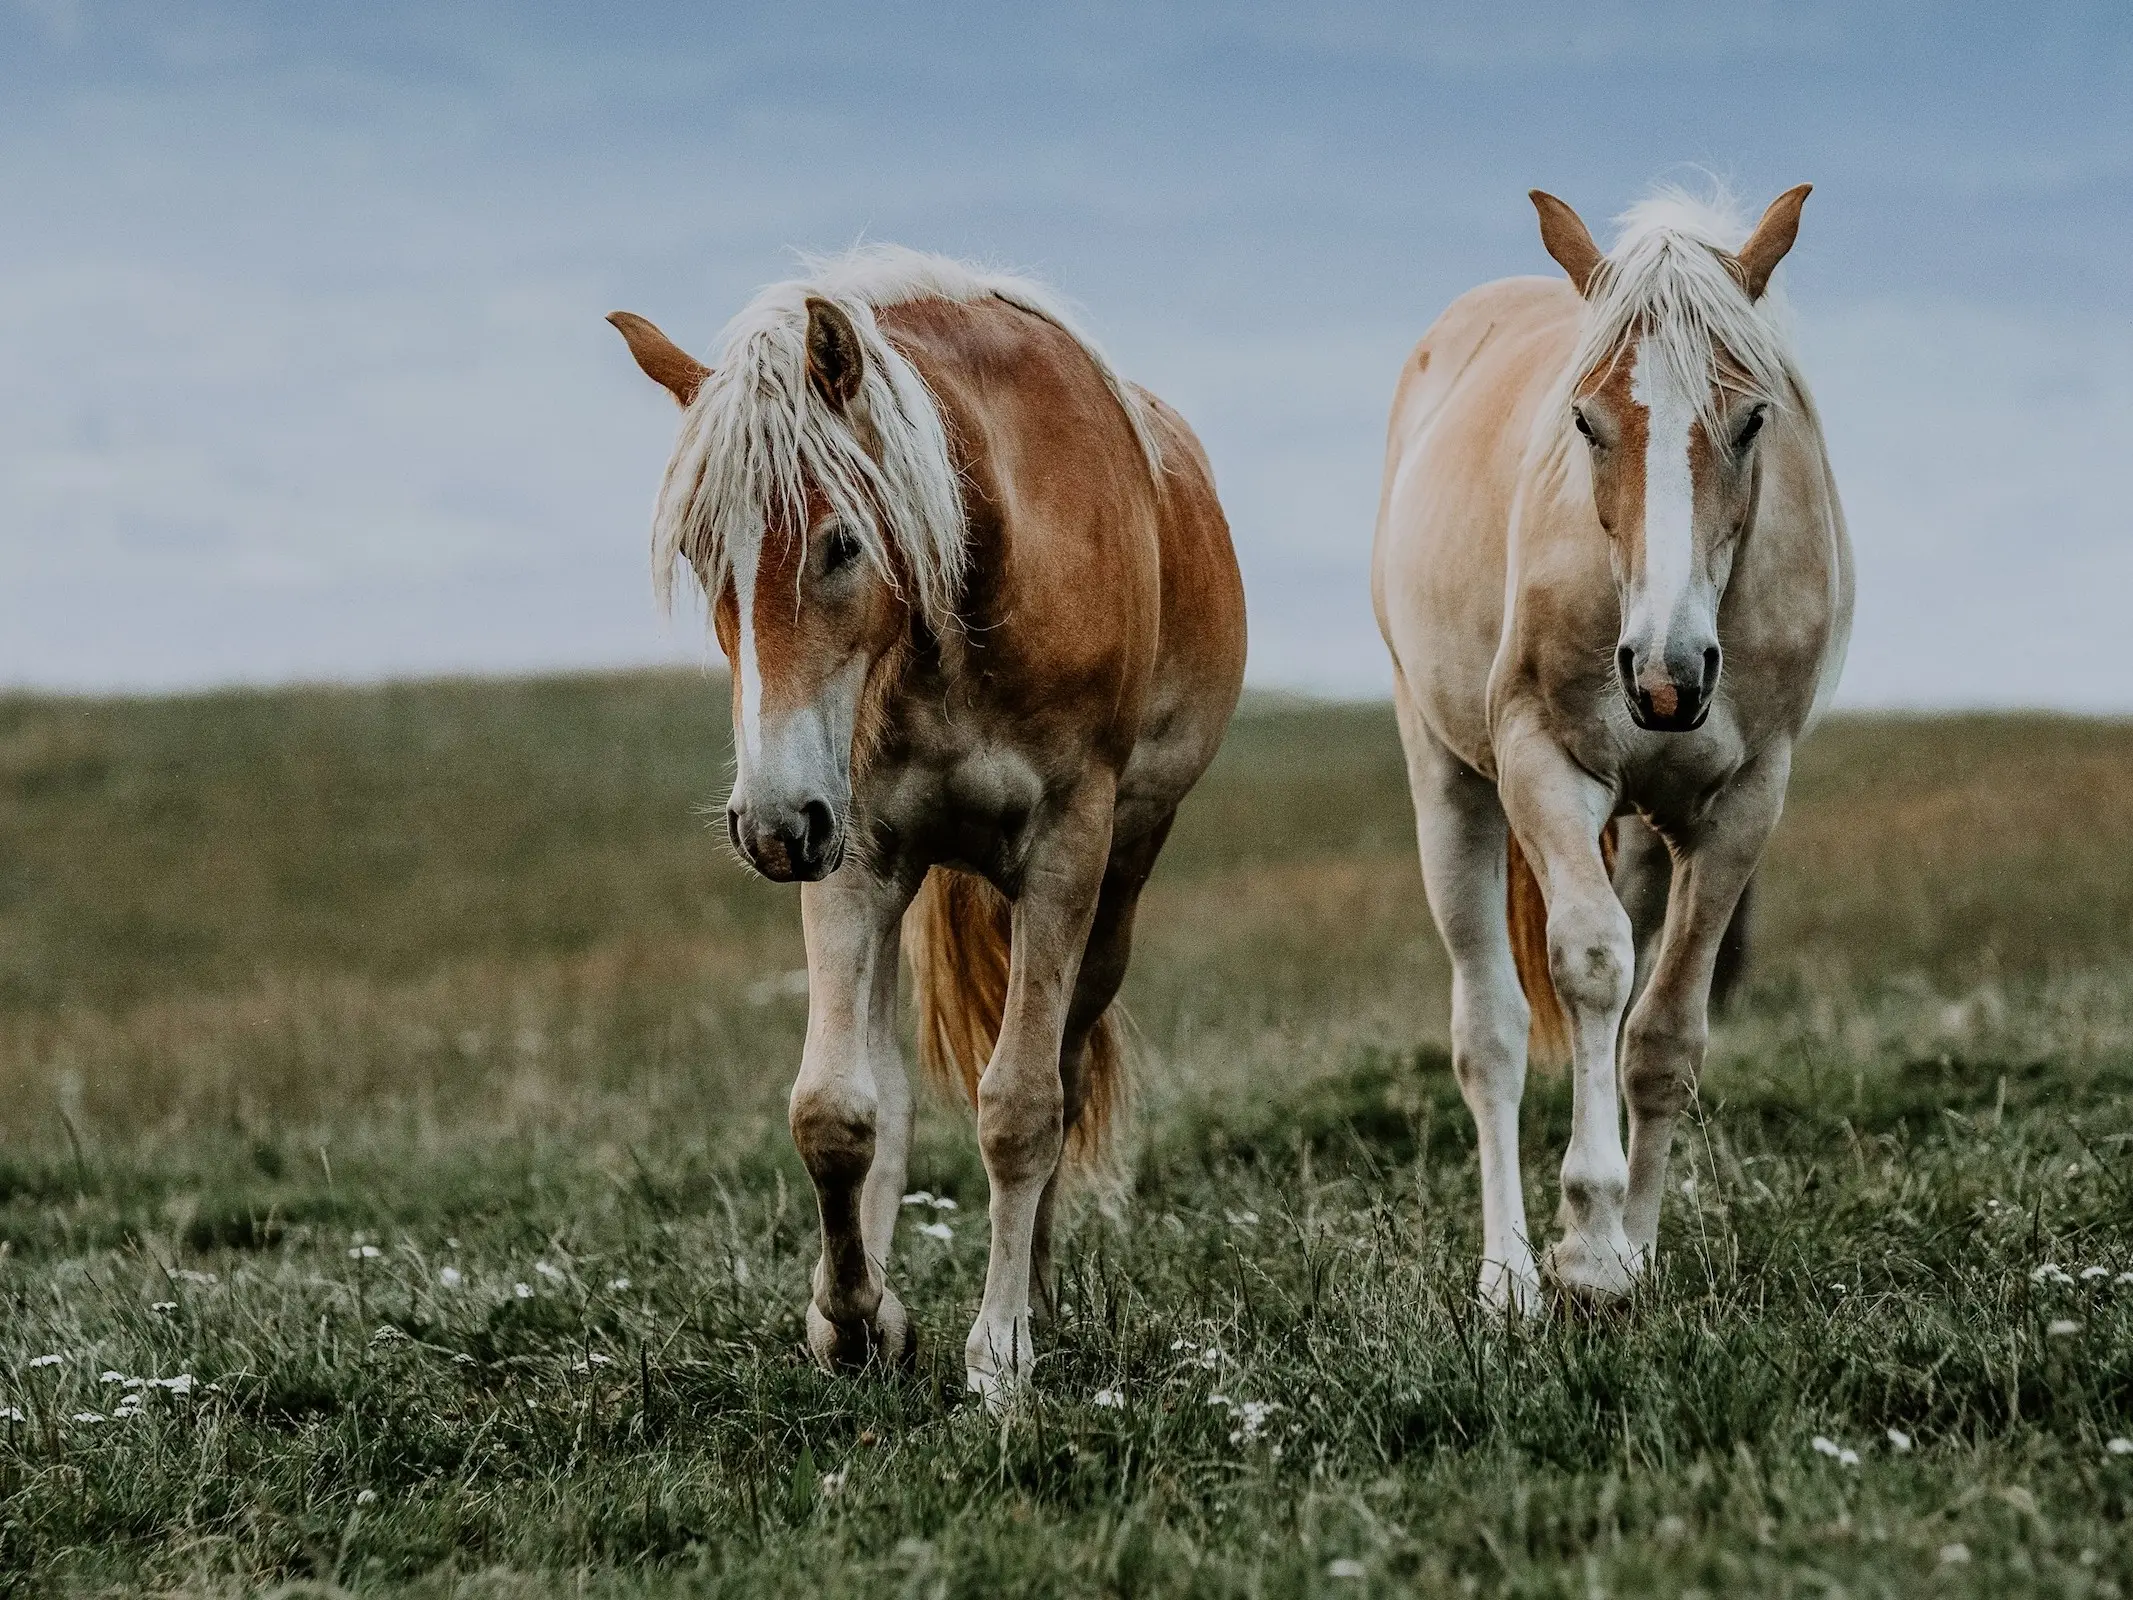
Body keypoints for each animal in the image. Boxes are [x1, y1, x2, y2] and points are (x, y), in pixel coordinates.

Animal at [610, 247, 1245, 1399]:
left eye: (841, 544)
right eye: (699, 554)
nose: (766, 822)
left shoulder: (1065, 851)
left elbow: (1022, 1107)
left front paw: (998, 1355)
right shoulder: (853, 851)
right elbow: (837, 1111)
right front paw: (855, 1321)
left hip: (1118, 883)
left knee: (1064, 1070)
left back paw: (1036, 1297)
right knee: (889, 1091)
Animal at [1382, 187, 1851, 1314]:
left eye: (1752, 417)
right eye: (1586, 420)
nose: (1666, 675)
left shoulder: (1745, 804)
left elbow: (1665, 1032)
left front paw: (1632, 1250)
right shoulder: (1546, 767)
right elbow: (1593, 969)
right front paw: (1588, 1246)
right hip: (1450, 787)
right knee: (1491, 1035)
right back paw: (1507, 1273)